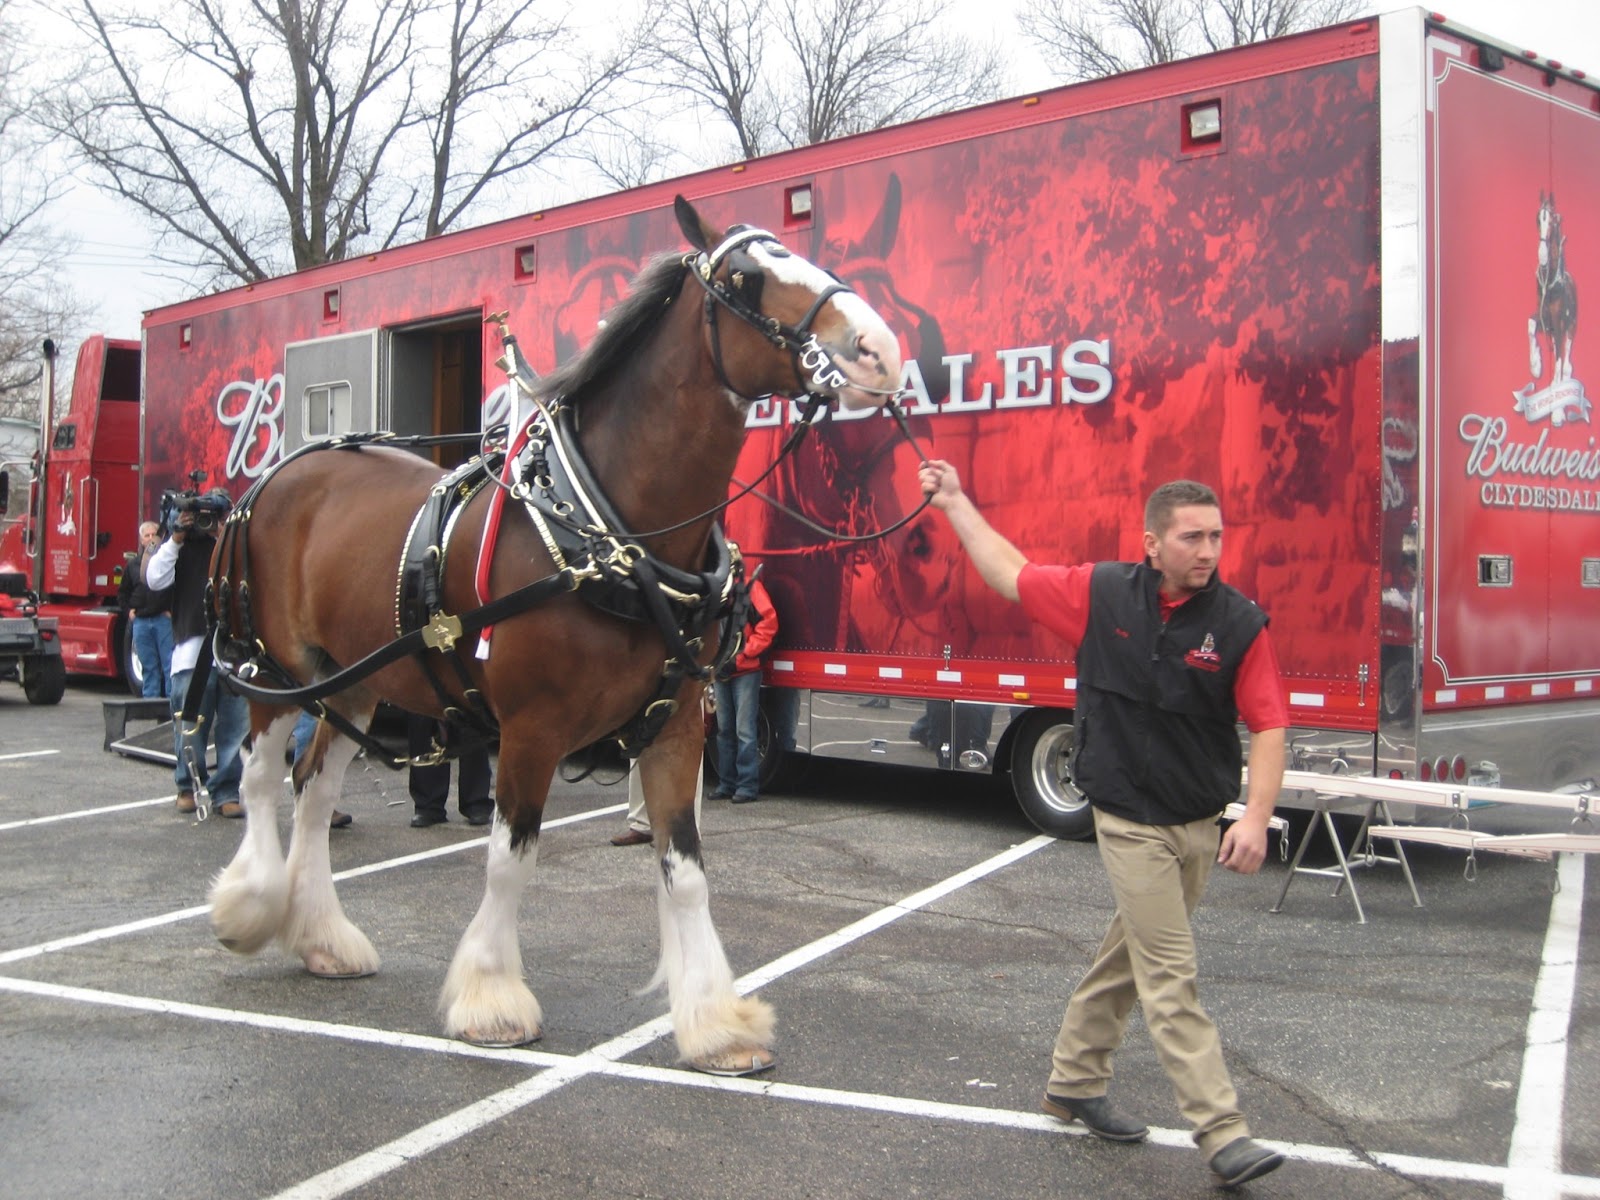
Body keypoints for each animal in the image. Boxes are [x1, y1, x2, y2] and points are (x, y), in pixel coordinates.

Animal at [203, 197, 902, 1081]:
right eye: (746, 278)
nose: (880, 349)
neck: (612, 534)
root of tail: (274, 477)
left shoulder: (676, 726)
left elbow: (686, 871)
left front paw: (716, 1022)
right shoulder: (530, 730)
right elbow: (511, 857)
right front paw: (493, 998)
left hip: (354, 679)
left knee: (316, 787)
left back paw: (323, 938)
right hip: (278, 667)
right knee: (263, 778)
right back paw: (252, 907)